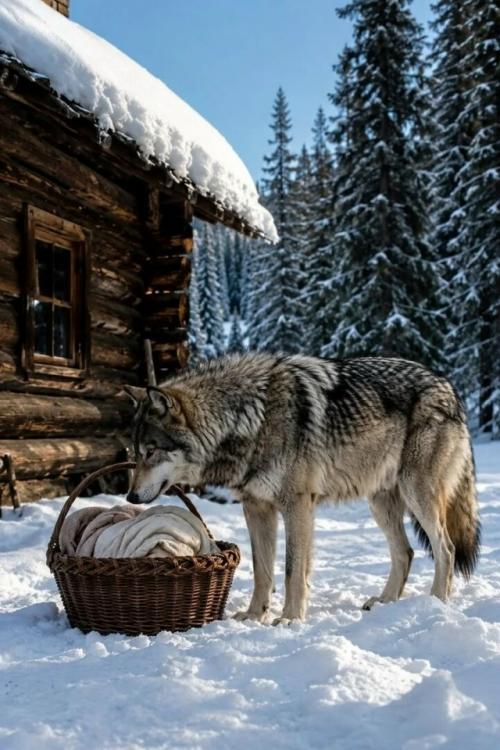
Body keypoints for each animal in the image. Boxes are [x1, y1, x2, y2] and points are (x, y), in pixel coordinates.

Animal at [126, 353, 480, 624]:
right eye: (135, 452)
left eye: (151, 452)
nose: (130, 496)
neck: (250, 420)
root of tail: (448, 386)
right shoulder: (256, 508)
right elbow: (262, 570)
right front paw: (255, 616)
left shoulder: (297, 505)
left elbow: (291, 570)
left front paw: (290, 618)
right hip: (380, 503)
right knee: (405, 552)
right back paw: (384, 601)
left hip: (416, 495)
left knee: (445, 548)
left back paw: (436, 602)